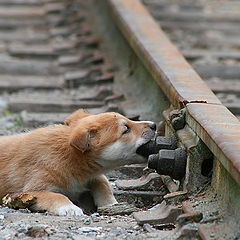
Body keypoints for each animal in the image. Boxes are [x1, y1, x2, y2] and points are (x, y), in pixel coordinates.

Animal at [0, 109, 156, 217]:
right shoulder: (30, 190)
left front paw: (111, 203)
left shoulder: (92, 175)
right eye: (126, 129)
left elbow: (102, 182)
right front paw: (69, 208)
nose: (154, 124)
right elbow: (55, 195)